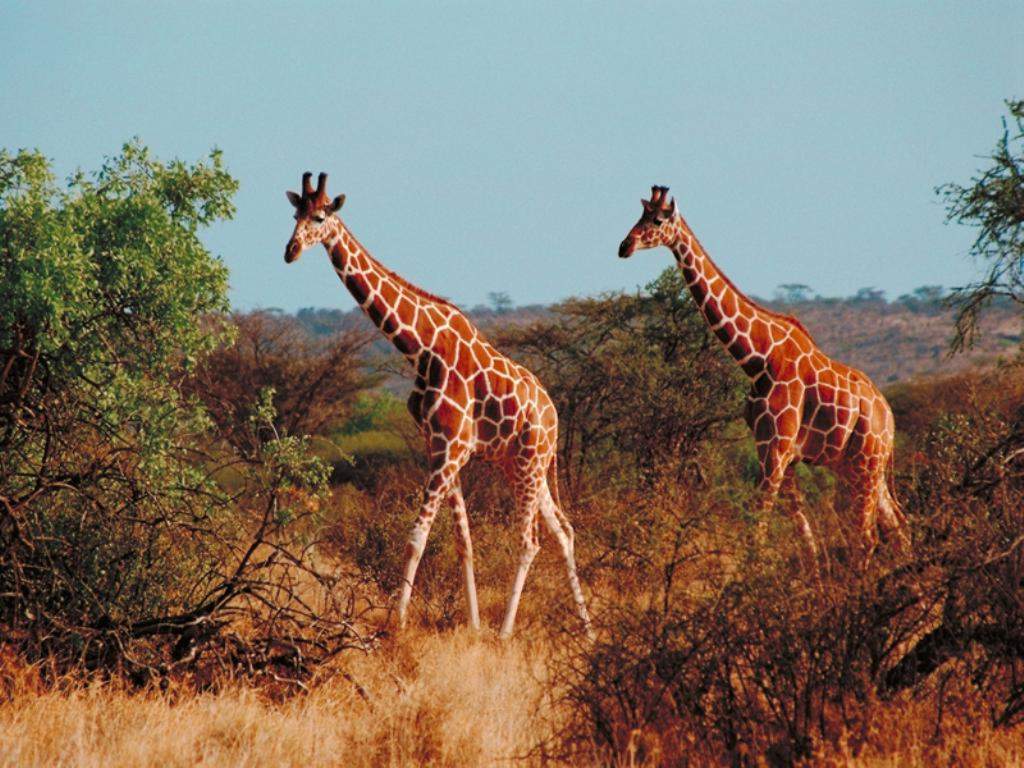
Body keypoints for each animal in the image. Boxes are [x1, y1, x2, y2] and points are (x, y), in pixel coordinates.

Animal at [286, 173, 593, 638]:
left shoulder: (450, 450)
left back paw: (506, 633)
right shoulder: (442, 447)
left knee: (530, 541)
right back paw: (587, 628)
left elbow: (417, 536)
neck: (420, 347)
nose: (290, 251)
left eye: (320, 217)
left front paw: (397, 624)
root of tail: (554, 415)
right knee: (563, 532)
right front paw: (473, 625)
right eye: (294, 214)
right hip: (525, 465)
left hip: (529, 462)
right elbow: (463, 541)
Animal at [614, 185, 913, 573]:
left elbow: (757, 527)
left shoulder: (777, 449)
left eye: (658, 220)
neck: (758, 358)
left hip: (866, 463)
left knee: (867, 537)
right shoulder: (773, 450)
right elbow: (804, 538)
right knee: (898, 528)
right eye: (641, 214)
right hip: (857, 467)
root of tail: (888, 417)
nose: (625, 246)